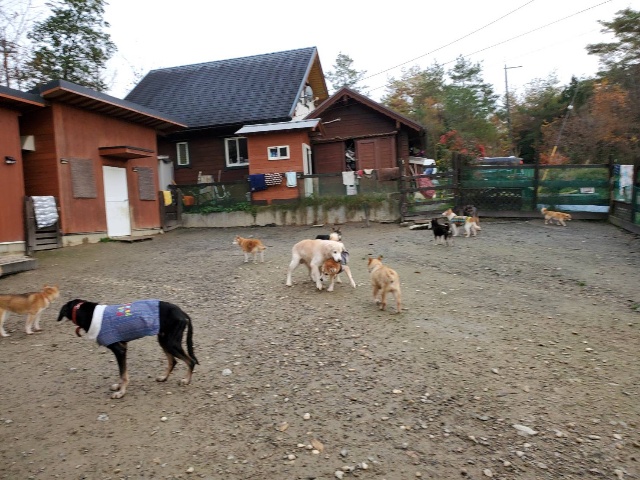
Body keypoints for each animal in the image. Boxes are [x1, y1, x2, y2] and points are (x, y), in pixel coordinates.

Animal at [57, 299, 198, 399]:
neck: (90, 314)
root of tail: (183, 313)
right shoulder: (123, 348)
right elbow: (122, 372)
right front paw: (119, 386)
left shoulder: (119, 350)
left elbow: (123, 374)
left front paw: (121, 392)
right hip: (163, 340)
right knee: (173, 361)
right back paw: (164, 377)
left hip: (171, 342)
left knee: (190, 361)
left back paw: (186, 380)